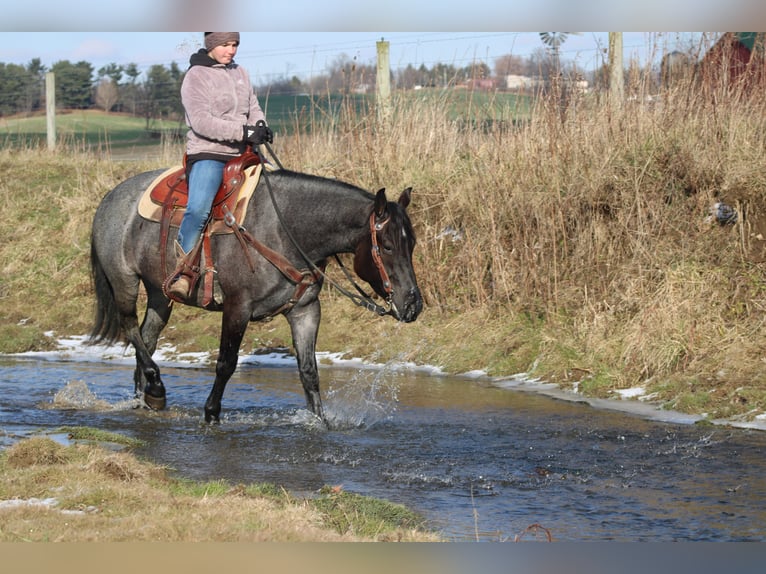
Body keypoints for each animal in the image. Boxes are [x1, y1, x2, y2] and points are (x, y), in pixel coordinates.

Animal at [88, 161, 423, 424]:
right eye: (388, 246)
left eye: (412, 243)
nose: (412, 304)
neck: (284, 230)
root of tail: (110, 198)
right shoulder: (238, 307)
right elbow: (226, 363)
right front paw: (211, 413)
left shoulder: (305, 310)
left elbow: (309, 371)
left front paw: (320, 421)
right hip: (124, 281)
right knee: (130, 327)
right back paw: (156, 388)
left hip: (160, 292)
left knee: (146, 338)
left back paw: (145, 397)